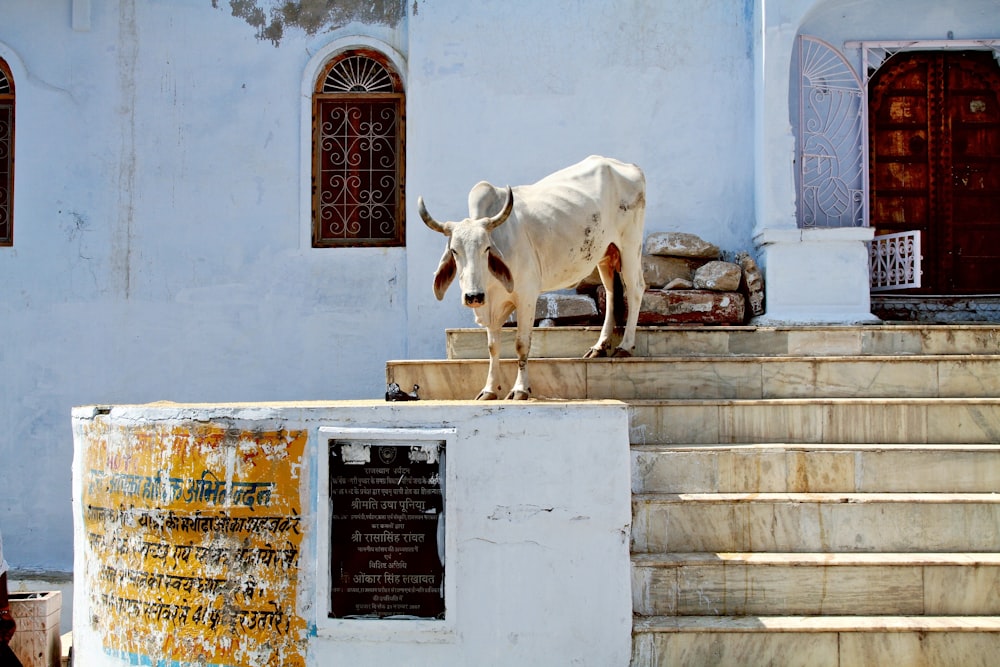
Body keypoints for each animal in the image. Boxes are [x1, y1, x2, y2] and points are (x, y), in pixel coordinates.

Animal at [416, 155, 644, 402]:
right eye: (455, 251)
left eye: (487, 248)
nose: (473, 296)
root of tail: (629, 166)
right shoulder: (491, 305)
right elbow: (492, 347)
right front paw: (489, 390)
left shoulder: (526, 296)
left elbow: (521, 344)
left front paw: (520, 389)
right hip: (605, 254)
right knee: (611, 293)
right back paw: (600, 347)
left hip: (630, 246)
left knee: (635, 290)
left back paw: (625, 346)